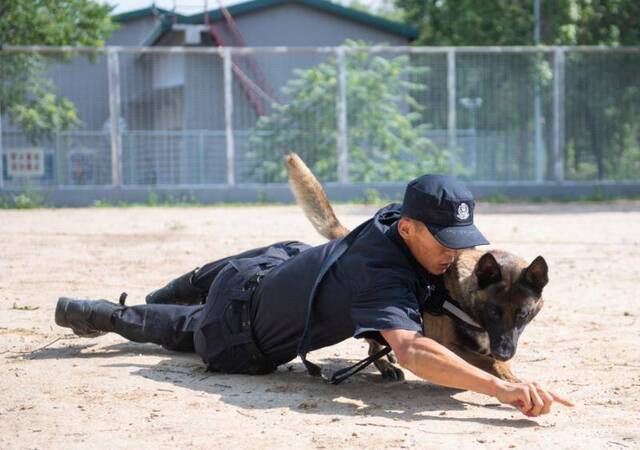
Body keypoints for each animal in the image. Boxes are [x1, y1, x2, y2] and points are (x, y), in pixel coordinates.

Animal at [286, 153, 552, 382]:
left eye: (523, 314)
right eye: (493, 312)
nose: (505, 352)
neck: (463, 296)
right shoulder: (448, 344)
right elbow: (489, 363)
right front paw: (510, 380)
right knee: (373, 342)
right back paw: (386, 366)